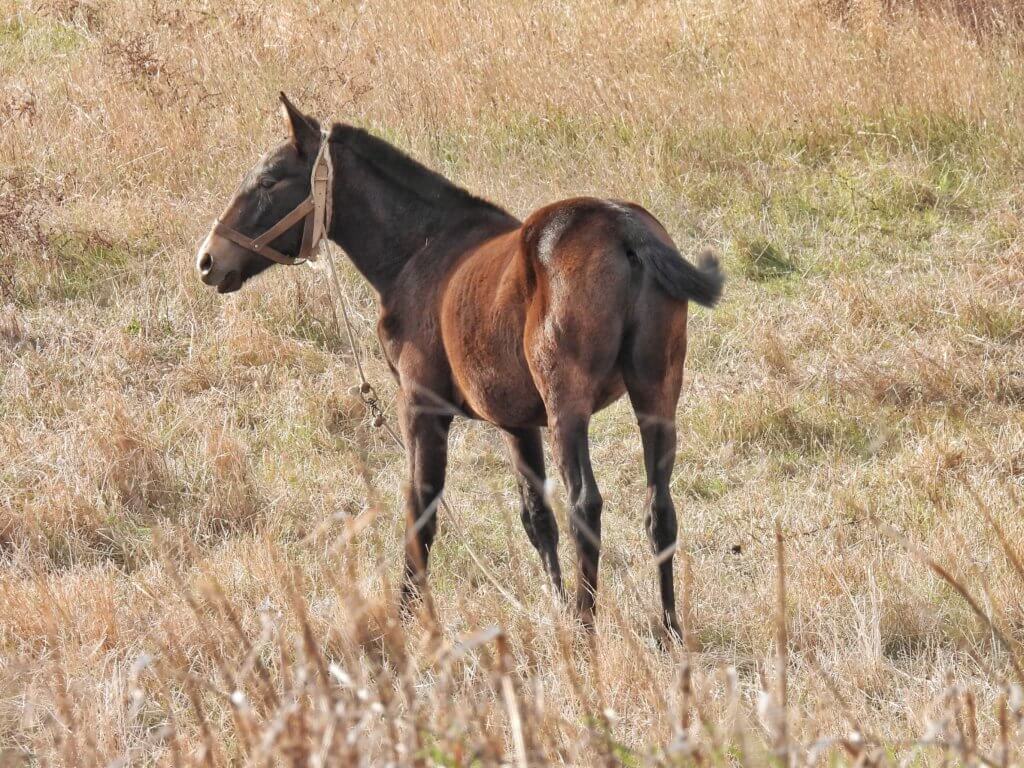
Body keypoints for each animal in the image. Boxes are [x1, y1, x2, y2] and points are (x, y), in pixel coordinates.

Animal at [195, 94, 724, 638]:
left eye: (268, 181)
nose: (208, 261)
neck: (421, 250)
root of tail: (623, 226)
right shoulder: (517, 422)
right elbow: (536, 517)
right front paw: (554, 607)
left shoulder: (421, 407)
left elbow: (421, 509)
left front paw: (407, 616)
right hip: (656, 392)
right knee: (659, 508)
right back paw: (669, 629)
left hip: (568, 404)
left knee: (586, 505)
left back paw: (585, 629)